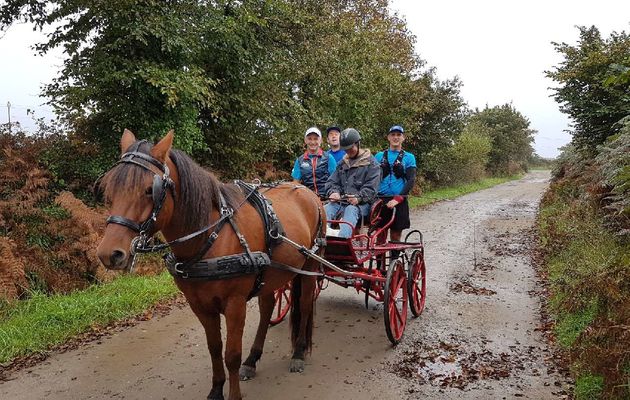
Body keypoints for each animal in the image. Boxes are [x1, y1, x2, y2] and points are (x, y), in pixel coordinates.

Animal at [99, 130, 326, 400]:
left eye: (148, 190)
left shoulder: (235, 304)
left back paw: (299, 353)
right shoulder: (199, 305)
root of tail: (307, 191)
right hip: (270, 274)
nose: (109, 254)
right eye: (109, 188)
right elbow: (215, 348)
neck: (211, 236)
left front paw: (234, 394)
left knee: (304, 304)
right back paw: (253, 358)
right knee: (267, 307)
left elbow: (232, 355)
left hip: (310, 265)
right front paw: (216, 390)